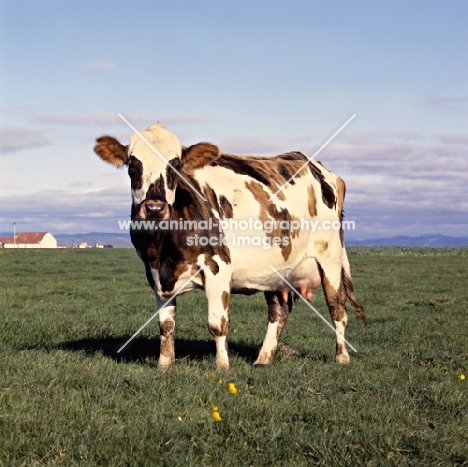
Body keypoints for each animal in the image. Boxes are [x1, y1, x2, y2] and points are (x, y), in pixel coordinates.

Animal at [94, 123, 366, 370]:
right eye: (132, 164)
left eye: (176, 165)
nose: (153, 208)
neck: (164, 246)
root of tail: (319, 167)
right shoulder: (157, 275)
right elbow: (166, 325)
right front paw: (164, 365)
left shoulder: (218, 267)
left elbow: (217, 323)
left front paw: (223, 366)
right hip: (276, 270)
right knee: (279, 311)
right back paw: (263, 359)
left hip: (330, 257)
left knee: (337, 307)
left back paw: (342, 357)